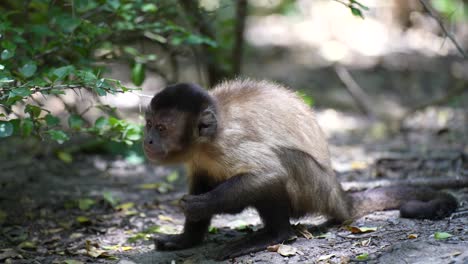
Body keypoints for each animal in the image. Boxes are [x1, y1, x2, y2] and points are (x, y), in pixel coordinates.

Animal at [143, 78, 458, 260]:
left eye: (162, 128)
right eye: (148, 125)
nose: (147, 140)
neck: (206, 140)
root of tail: (336, 193)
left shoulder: (227, 143)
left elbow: (269, 174)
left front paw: (201, 205)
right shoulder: (199, 158)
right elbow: (201, 179)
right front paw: (186, 239)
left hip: (314, 190)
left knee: (285, 164)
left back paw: (274, 235)